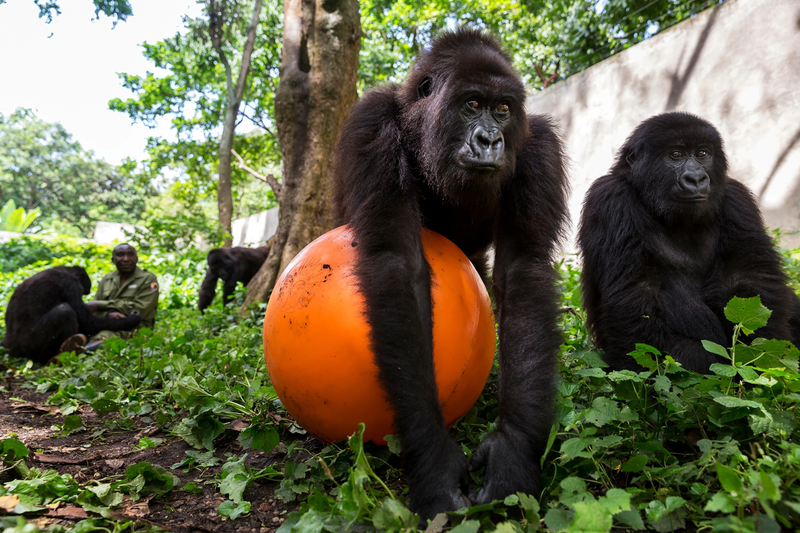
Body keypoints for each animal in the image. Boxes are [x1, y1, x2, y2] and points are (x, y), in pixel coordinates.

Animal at [2, 264, 142, 364]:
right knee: (64, 311)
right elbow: (86, 321)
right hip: (30, 346)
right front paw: (130, 320)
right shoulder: (71, 284)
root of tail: (10, 349)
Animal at [334, 29, 572, 520]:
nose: (490, 140)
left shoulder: (537, 145)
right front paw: (432, 457)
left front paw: (512, 450)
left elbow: (524, 269)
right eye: (471, 104)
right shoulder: (372, 124)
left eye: (503, 109)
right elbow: (397, 263)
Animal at [580, 111, 800, 374]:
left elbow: (750, 281)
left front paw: (764, 358)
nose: (696, 178)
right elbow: (637, 294)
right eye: (675, 154)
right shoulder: (610, 198)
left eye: (702, 153)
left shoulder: (736, 199)